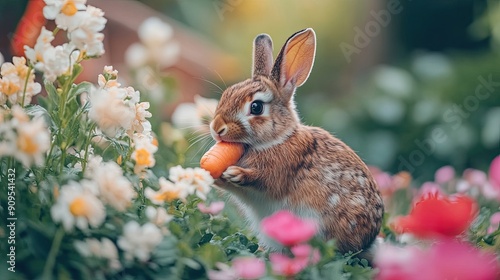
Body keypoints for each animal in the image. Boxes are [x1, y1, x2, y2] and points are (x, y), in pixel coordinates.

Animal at [209, 29, 384, 256]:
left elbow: (262, 180)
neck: (277, 139)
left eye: (256, 107)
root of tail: (368, 242)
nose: (216, 128)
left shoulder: (279, 172)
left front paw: (236, 173)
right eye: (225, 94)